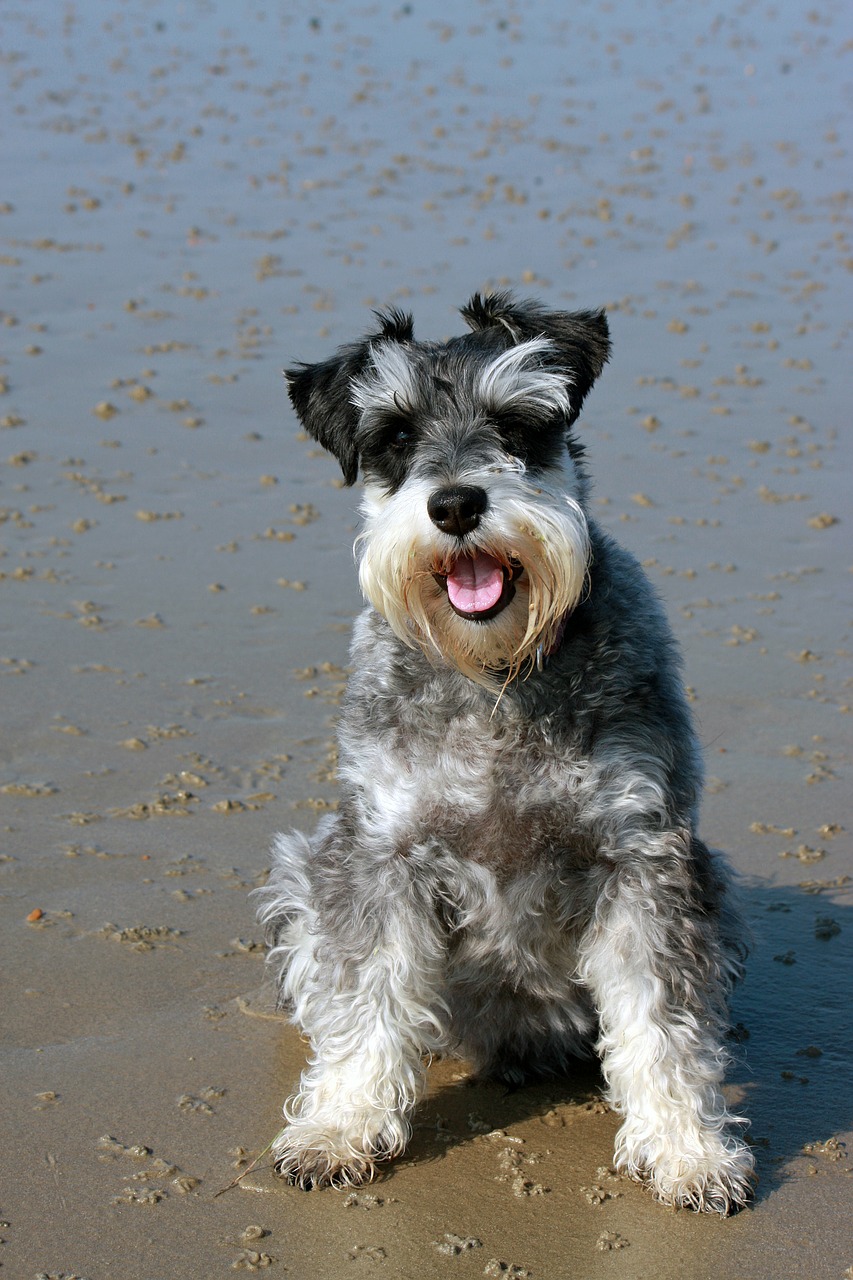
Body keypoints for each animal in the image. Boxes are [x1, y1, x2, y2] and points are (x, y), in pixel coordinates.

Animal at [257, 294, 753, 1213]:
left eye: (518, 423)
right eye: (394, 436)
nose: (455, 504)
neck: (494, 678)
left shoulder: (642, 859)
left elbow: (662, 1023)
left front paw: (687, 1151)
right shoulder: (380, 857)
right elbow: (363, 998)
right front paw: (339, 1126)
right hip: (304, 870)